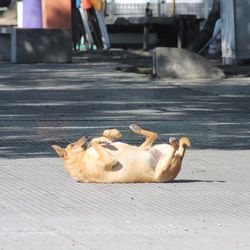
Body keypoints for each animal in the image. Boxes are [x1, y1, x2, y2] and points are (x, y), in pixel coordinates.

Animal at [51, 124, 191, 183]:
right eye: (72, 145)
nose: (85, 136)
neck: (78, 158)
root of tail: (180, 158)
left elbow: (102, 137)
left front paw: (111, 134)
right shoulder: (110, 161)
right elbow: (95, 141)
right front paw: (102, 139)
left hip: (142, 148)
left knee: (153, 135)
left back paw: (136, 128)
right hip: (162, 169)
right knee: (174, 146)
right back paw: (174, 142)